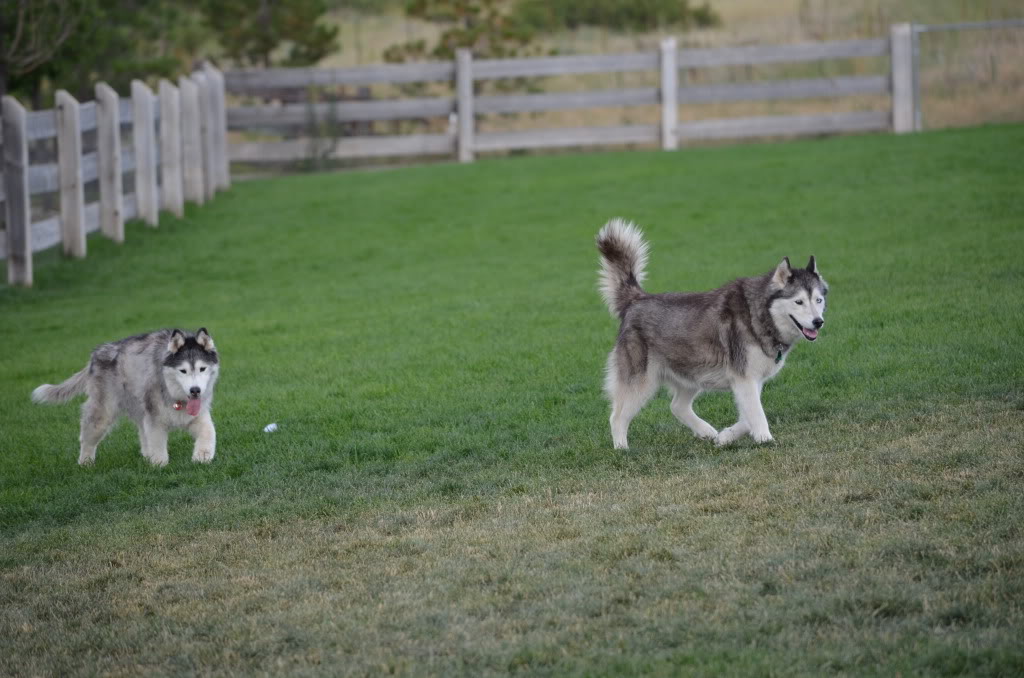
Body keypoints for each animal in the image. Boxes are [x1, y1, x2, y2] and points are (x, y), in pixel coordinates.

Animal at [31, 329, 220, 467]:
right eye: (183, 371)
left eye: (202, 368)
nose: (195, 390)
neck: (176, 395)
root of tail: (95, 356)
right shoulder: (155, 420)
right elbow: (158, 443)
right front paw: (159, 464)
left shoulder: (198, 415)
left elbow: (209, 432)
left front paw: (202, 457)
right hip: (103, 412)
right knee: (87, 438)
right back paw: (85, 463)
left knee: (142, 433)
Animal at [598, 220, 827, 448]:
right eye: (799, 301)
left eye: (818, 300)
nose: (818, 322)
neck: (759, 314)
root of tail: (637, 299)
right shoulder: (744, 379)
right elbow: (757, 414)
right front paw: (765, 439)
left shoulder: (751, 381)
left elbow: (748, 417)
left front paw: (726, 437)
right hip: (641, 381)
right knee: (617, 417)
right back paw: (622, 448)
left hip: (692, 373)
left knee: (677, 406)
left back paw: (706, 431)